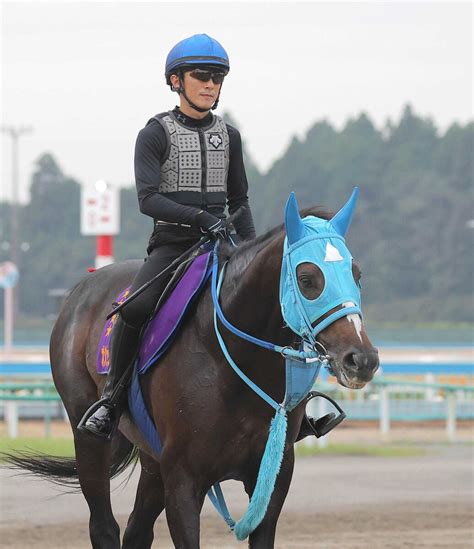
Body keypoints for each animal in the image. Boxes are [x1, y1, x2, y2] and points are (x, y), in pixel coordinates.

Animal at [5, 191, 378, 544]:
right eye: (307, 278)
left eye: (357, 274)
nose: (362, 359)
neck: (233, 361)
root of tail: (80, 289)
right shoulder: (184, 481)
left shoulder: (272, 480)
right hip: (90, 441)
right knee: (104, 527)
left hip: (153, 459)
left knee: (137, 531)